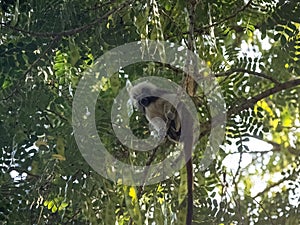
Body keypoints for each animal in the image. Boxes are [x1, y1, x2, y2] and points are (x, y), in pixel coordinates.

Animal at [129, 81, 195, 225]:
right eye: (138, 99)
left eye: (143, 94)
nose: (141, 100)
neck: (150, 102)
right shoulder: (148, 111)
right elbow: (154, 119)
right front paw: (161, 132)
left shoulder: (160, 95)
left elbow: (172, 100)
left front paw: (169, 113)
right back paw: (171, 133)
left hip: (187, 120)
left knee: (180, 109)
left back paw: (174, 124)